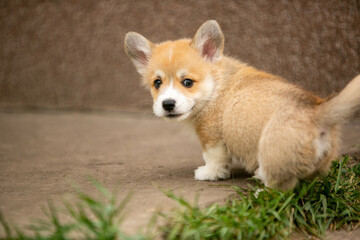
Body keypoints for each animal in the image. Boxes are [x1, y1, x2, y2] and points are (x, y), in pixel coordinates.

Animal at [124, 19, 360, 190]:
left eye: (187, 82)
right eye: (157, 83)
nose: (168, 104)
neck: (216, 84)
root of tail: (317, 110)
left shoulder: (211, 137)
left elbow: (213, 158)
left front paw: (209, 174)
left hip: (271, 152)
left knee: (283, 189)